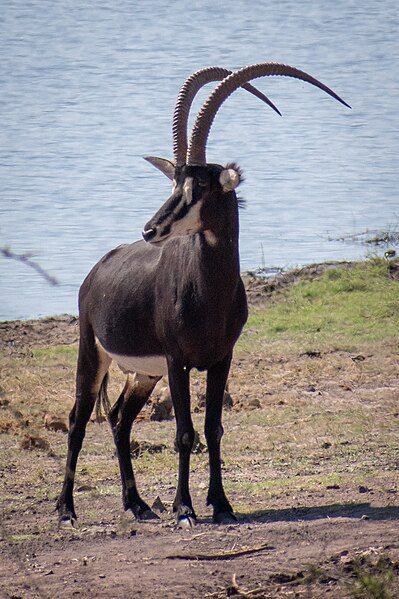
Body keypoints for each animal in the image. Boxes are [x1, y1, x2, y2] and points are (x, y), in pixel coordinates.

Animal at [56, 62, 350, 528]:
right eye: (174, 182)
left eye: (198, 187)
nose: (150, 229)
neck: (210, 295)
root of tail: (96, 272)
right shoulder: (178, 361)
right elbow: (184, 433)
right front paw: (185, 510)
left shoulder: (220, 359)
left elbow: (213, 428)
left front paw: (222, 504)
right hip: (94, 354)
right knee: (77, 421)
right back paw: (66, 511)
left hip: (144, 374)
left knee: (119, 420)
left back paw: (138, 505)